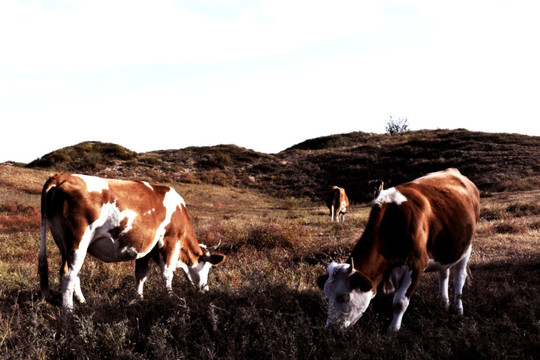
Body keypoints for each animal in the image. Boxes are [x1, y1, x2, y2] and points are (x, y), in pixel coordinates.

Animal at [39, 174, 226, 312]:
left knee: (74, 274)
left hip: (64, 245)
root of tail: (63, 176)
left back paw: (84, 303)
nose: (205, 290)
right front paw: (171, 298)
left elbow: (141, 275)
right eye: (208, 268)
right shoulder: (170, 241)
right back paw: (68, 311)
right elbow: (167, 274)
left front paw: (139, 299)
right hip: (78, 242)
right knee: (68, 275)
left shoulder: (145, 249)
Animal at [316, 169, 480, 332]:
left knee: (459, 278)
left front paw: (393, 330)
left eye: (344, 297)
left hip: (466, 248)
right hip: (445, 248)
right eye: (327, 297)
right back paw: (443, 303)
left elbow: (399, 301)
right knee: (443, 273)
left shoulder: (417, 263)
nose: (330, 328)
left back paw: (458, 310)